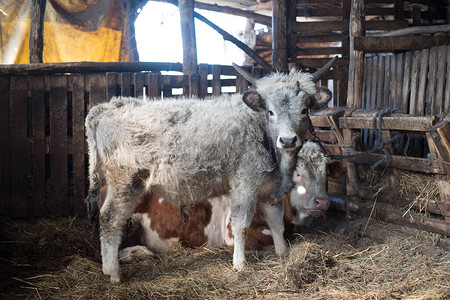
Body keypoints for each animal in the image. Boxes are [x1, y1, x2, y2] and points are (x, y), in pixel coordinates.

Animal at [86, 59, 336, 284]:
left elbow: (277, 223)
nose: (287, 140)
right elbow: (241, 226)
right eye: (271, 112)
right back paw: (114, 273)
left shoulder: (269, 189)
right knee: (110, 219)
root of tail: (106, 107)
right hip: (126, 180)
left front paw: (282, 254)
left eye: (304, 110)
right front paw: (240, 265)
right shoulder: (244, 184)